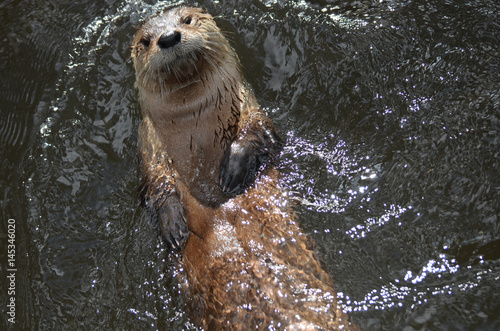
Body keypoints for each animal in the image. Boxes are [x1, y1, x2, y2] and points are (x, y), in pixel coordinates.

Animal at [131, 6, 358, 330]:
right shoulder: (148, 143)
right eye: (146, 41)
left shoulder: (251, 105)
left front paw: (233, 168)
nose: (169, 36)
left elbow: (262, 134)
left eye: (187, 19)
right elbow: (155, 183)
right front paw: (173, 225)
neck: (196, 127)